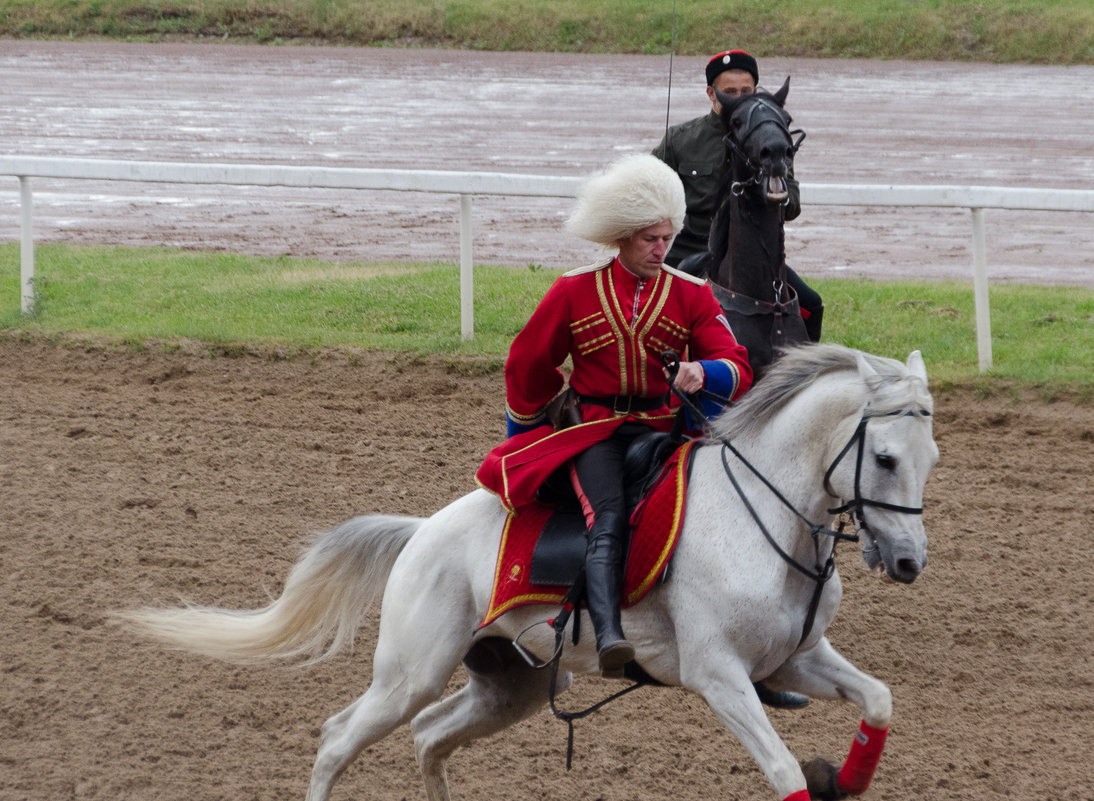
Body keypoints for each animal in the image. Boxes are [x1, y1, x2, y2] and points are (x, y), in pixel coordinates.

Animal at [121, 343, 940, 800]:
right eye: (885, 457)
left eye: (931, 458)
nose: (907, 561)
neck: (761, 519)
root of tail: (423, 533)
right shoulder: (720, 676)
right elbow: (786, 775)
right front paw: (823, 779)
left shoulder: (795, 659)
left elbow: (879, 700)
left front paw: (848, 779)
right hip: (411, 672)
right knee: (338, 737)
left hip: (509, 684)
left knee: (429, 737)